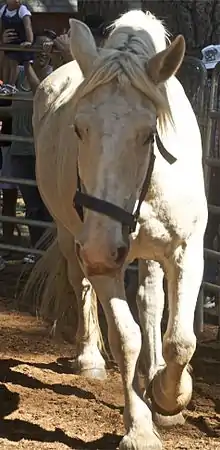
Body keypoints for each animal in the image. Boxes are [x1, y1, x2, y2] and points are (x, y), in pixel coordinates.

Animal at [30, 9, 207, 450]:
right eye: (78, 129)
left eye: (148, 134)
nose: (99, 248)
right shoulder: (102, 258)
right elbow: (126, 338)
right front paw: (140, 427)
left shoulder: (186, 250)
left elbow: (181, 340)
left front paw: (170, 396)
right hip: (69, 236)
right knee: (81, 286)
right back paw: (90, 358)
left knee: (151, 301)